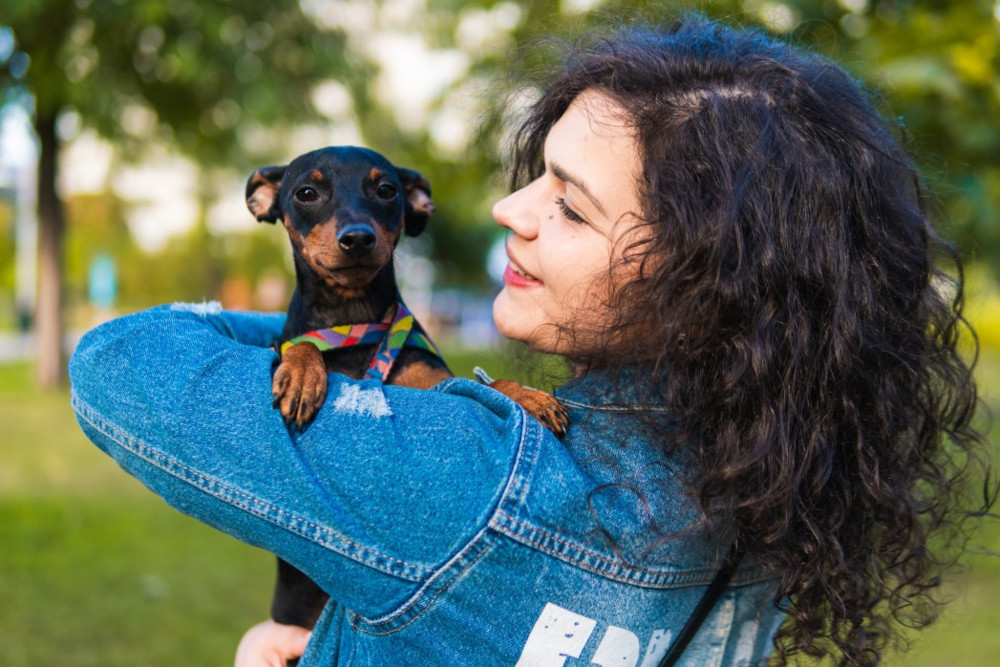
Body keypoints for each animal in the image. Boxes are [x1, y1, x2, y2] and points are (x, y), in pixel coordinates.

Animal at [246, 146, 568, 636]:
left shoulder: (429, 379)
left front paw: (528, 396)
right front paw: (301, 373)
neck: (354, 317)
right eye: (305, 194)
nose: (357, 239)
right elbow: (300, 343)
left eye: (385, 190)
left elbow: (486, 385)